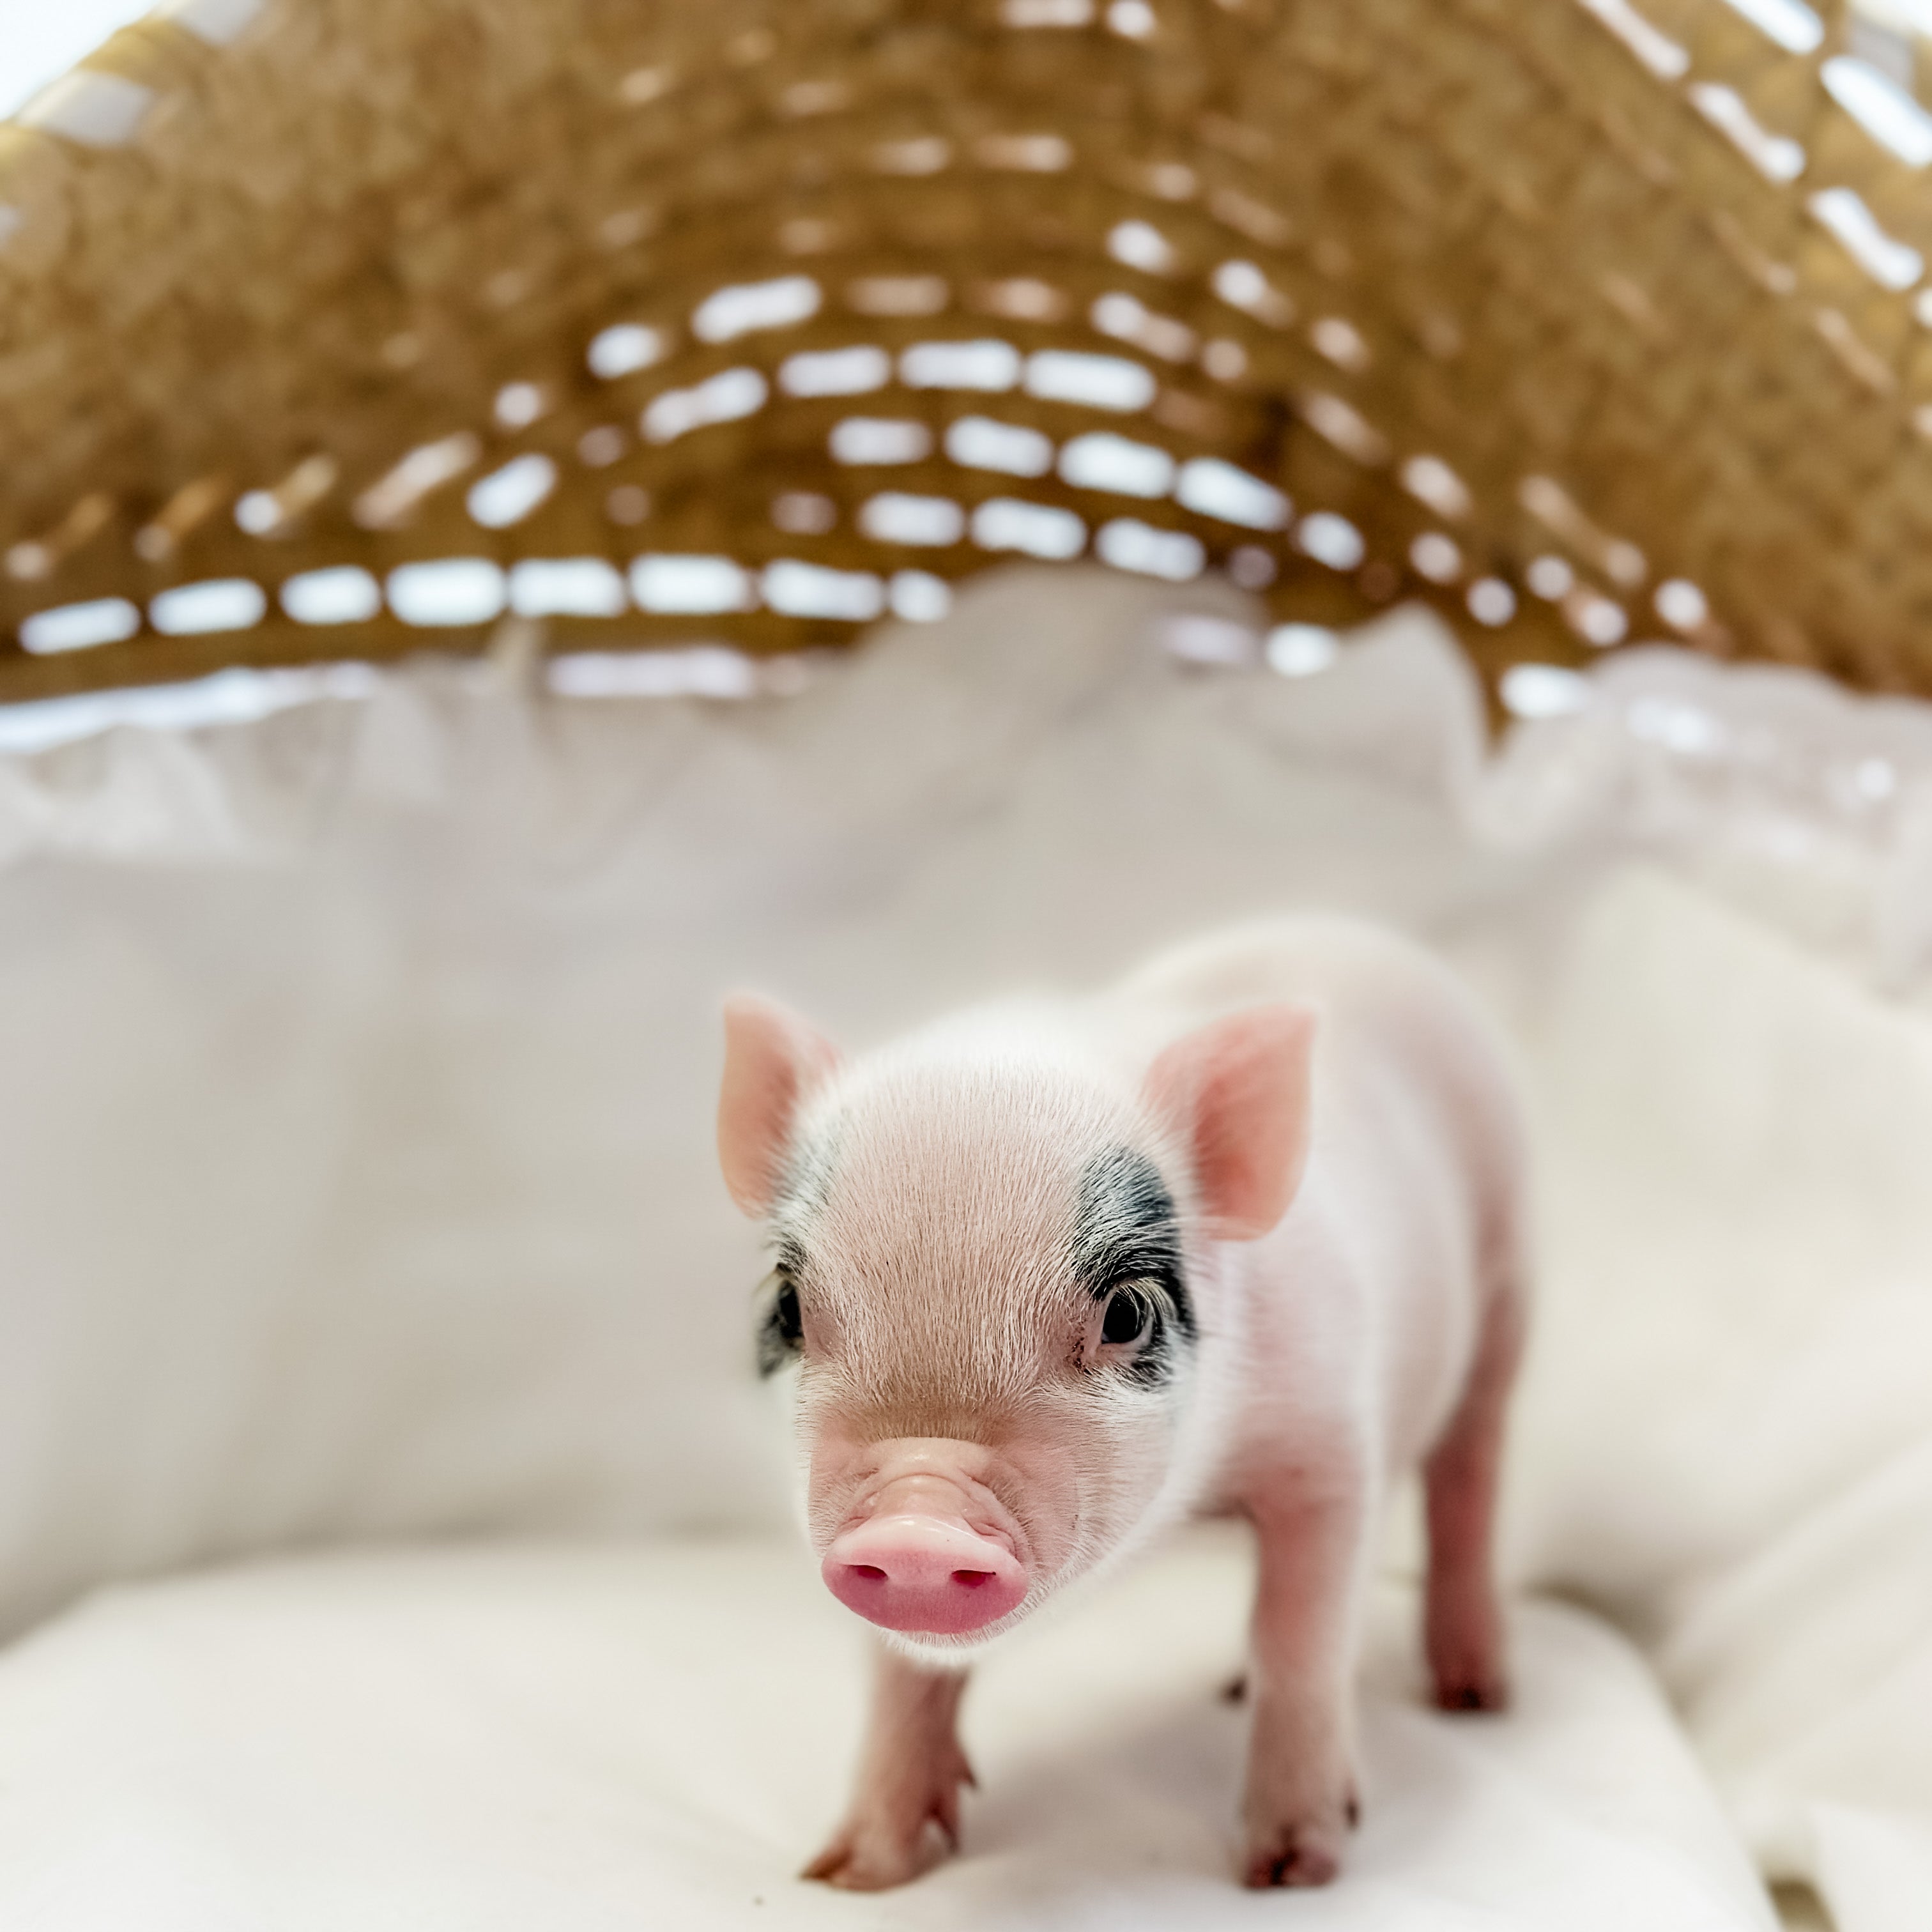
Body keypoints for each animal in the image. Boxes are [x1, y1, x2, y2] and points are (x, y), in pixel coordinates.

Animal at [716, 915, 1527, 1891]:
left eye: (1128, 1313)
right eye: (788, 1305)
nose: (916, 1525)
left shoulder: (1330, 1446)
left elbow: (1303, 1644)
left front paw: (1290, 1872)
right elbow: (899, 1678)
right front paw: (845, 1876)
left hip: (1513, 1267)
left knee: (1469, 1478)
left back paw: (1476, 1697)